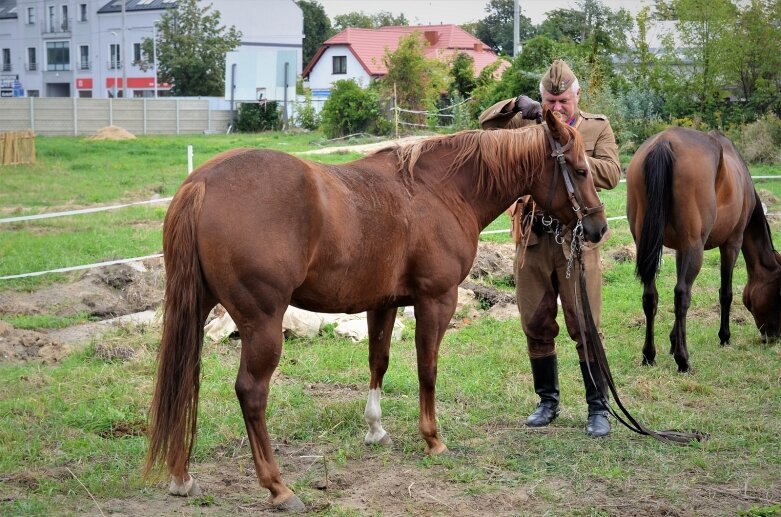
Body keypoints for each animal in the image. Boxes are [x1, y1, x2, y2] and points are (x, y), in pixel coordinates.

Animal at [146, 109, 608, 508]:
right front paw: (432, 438)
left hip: (197, 309)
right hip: (262, 324)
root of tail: (201, 183)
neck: (440, 190)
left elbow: (378, 362)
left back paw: (181, 477)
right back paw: (278, 486)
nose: (598, 227)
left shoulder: (382, 305)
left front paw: (375, 429)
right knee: (251, 393)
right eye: (580, 171)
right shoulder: (436, 300)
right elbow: (427, 368)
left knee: (184, 379)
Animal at [628, 127, 780, 372]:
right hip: (695, 248)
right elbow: (726, 293)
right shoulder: (732, 243)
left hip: (648, 245)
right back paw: (683, 360)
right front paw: (724, 336)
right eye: (778, 293)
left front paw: (673, 340)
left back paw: (649, 355)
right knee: (682, 295)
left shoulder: (681, 249)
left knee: (651, 296)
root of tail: (664, 142)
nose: (774, 336)